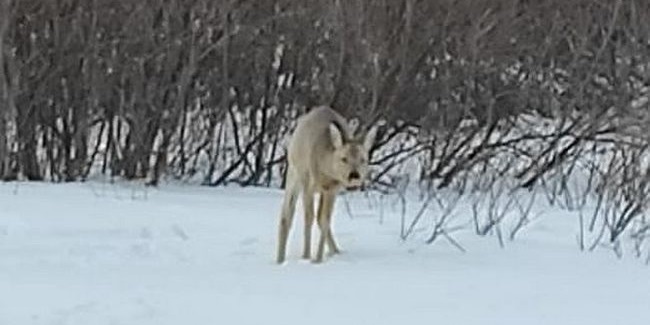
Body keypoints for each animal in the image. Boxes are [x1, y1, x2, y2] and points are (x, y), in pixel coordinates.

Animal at [274, 105, 378, 264]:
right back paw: (280, 260)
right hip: (294, 173)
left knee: (319, 216)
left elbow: (325, 220)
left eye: (363, 159)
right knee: (287, 215)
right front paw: (306, 256)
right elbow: (308, 218)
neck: (325, 169)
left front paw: (318, 259)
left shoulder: (332, 189)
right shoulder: (307, 183)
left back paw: (336, 251)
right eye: (344, 158)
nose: (354, 176)